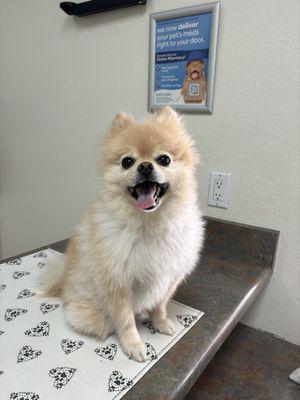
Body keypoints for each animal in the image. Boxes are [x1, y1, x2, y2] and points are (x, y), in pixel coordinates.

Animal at [42, 106, 205, 362]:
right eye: (127, 162)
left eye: (164, 159)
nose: (145, 166)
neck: (150, 224)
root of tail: (63, 281)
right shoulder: (117, 284)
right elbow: (125, 320)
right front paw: (133, 345)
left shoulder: (170, 278)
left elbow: (160, 305)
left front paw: (160, 322)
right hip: (89, 314)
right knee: (103, 322)